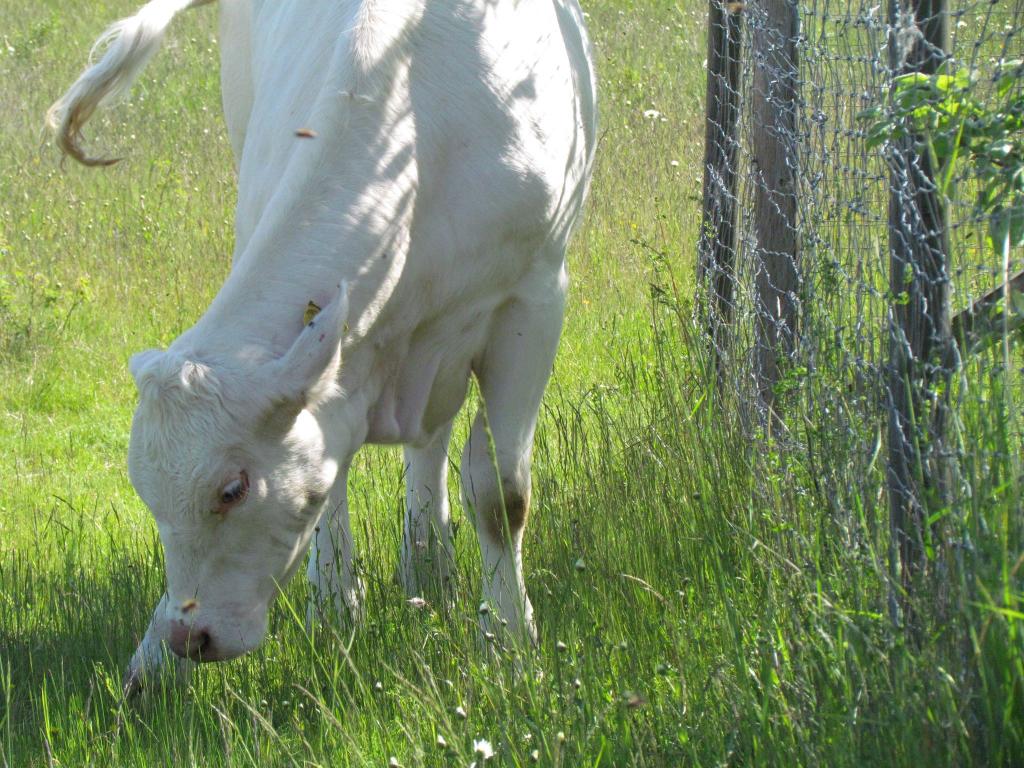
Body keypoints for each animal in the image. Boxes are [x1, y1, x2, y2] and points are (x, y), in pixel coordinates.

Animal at [48, 0, 598, 688]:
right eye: (148, 495)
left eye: (233, 489)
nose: (186, 637)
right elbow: (329, 475)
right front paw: (335, 608)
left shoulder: (535, 301)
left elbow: (502, 494)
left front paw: (509, 641)